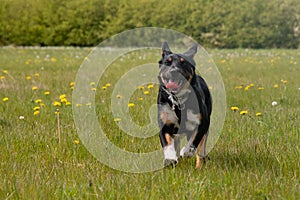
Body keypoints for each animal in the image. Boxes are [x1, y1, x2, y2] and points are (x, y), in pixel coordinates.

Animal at [156, 41, 212, 169]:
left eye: (183, 62)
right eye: (168, 62)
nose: (174, 71)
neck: (178, 101)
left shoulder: (202, 122)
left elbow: (194, 141)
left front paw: (186, 152)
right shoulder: (165, 124)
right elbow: (167, 144)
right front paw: (170, 159)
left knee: (201, 150)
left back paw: (198, 167)